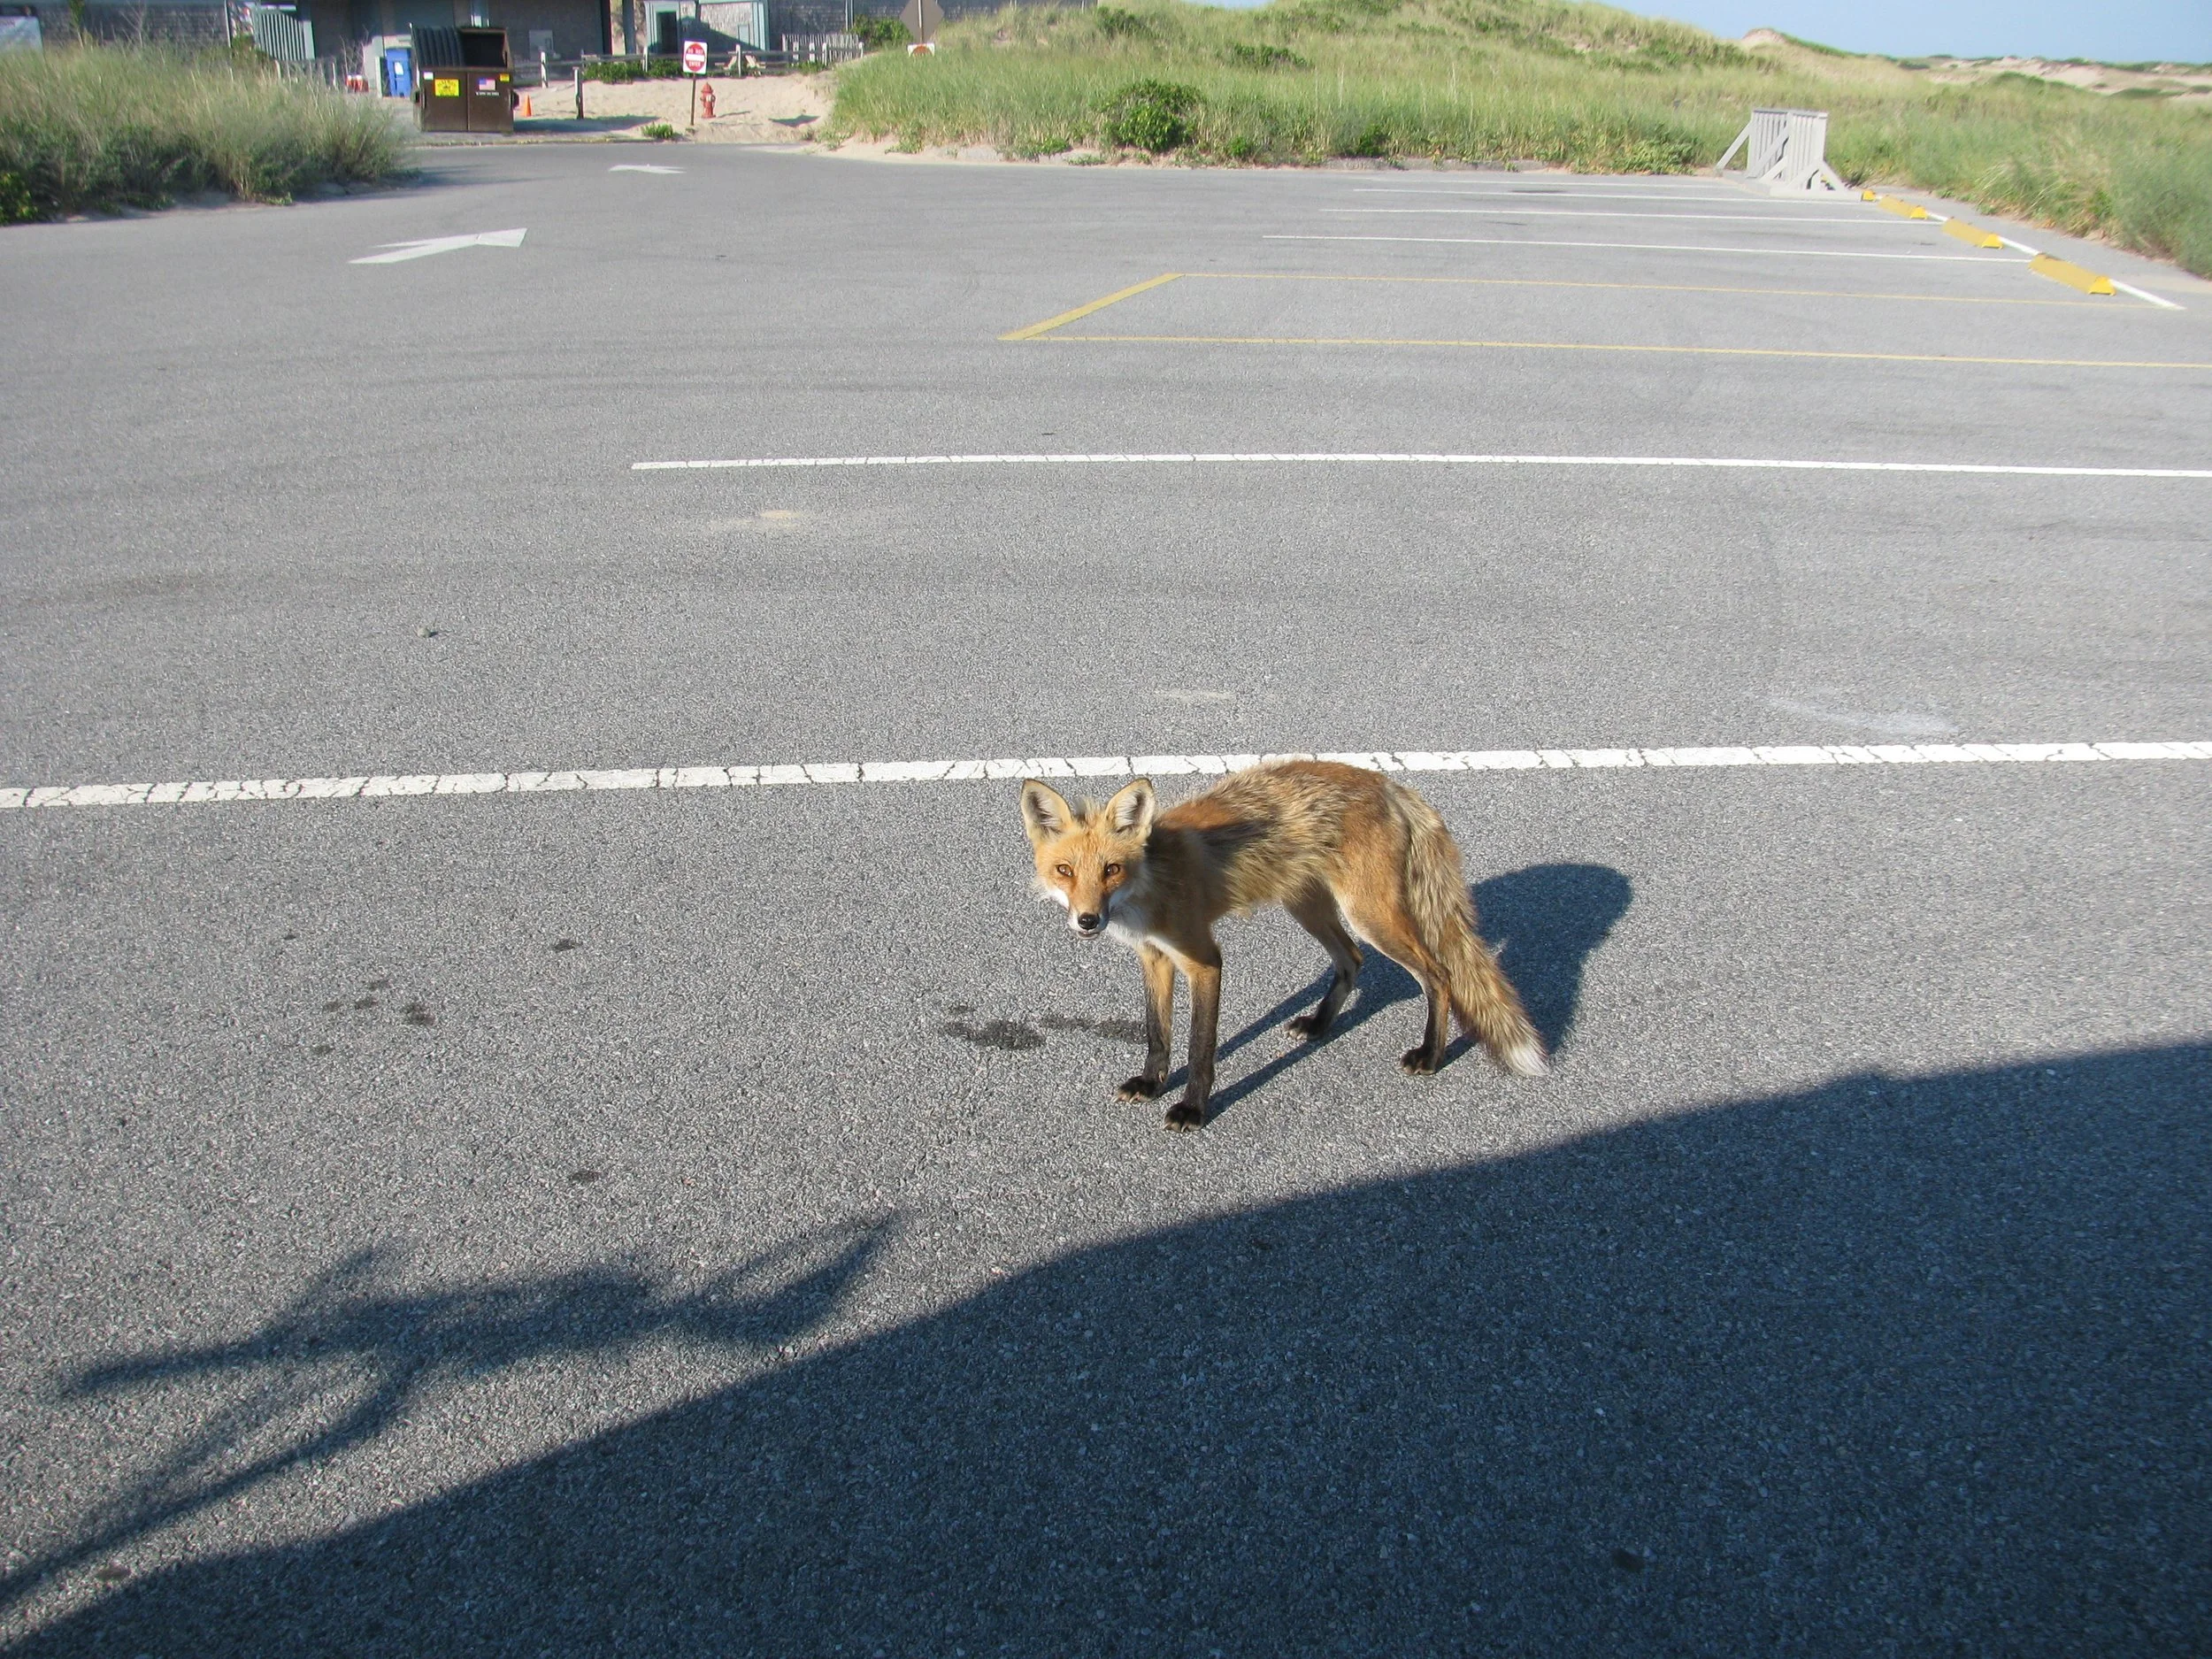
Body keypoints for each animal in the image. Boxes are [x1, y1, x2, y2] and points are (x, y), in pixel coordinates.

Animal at [1019, 759, 1546, 1130]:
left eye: (1112, 869)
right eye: (1065, 871)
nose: (1088, 920)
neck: (1151, 885)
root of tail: (1388, 784)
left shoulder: (1204, 960)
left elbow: (1200, 1047)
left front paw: (1192, 1108)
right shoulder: (1154, 958)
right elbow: (1158, 1035)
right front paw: (1151, 1084)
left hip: (1370, 916)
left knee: (1438, 975)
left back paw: (1431, 1056)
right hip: (1309, 907)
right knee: (1353, 959)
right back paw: (1319, 1025)